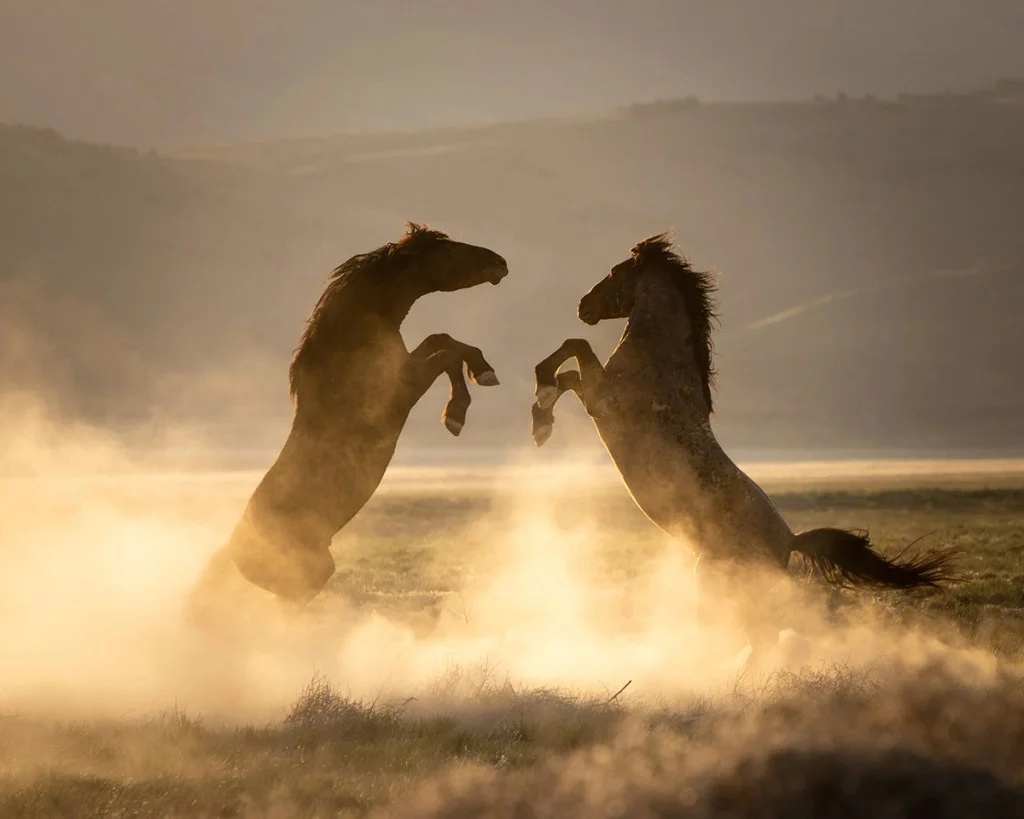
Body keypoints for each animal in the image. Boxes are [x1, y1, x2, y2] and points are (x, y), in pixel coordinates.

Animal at [190, 222, 509, 614]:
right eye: (449, 252)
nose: (501, 263)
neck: (349, 341)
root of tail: (235, 553)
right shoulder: (403, 387)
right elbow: (447, 355)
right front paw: (457, 413)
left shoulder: (409, 365)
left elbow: (443, 339)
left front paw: (483, 371)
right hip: (307, 577)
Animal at [530, 232, 963, 666]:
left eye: (615, 272)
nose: (583, 305)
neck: (660, 361)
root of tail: (789, 542)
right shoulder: (596, 395)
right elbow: (569, 371)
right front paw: (541, 420)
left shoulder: (602, 399)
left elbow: (576, 349)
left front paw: (541, 400)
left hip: (717, 582)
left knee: (758, 637)